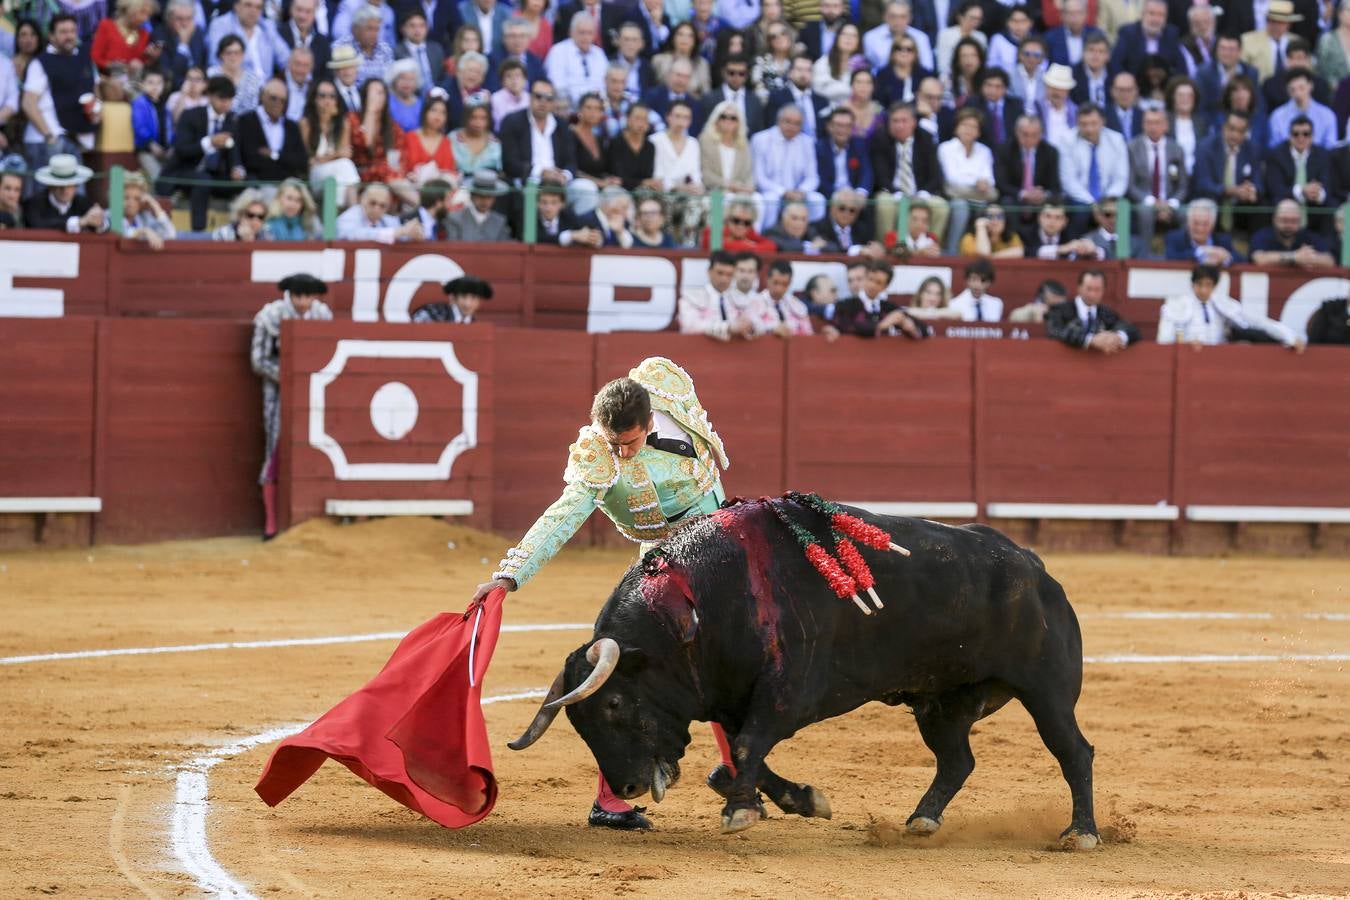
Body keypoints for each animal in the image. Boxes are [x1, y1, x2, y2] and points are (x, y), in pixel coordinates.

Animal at [507, 499, 1096, 852]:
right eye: (579, 724)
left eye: (612, 704)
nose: (626, 787)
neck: (695, 608)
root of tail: (1034, 567)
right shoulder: (732, 701)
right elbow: (734, 760)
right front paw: (802, 801)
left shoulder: (789, 696)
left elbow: (745, 750)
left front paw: (740, 813)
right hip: (940, 701)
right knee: (957, 760)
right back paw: (921, 821)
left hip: (1046, 691)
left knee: (1073, 750)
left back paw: (1081, 833)